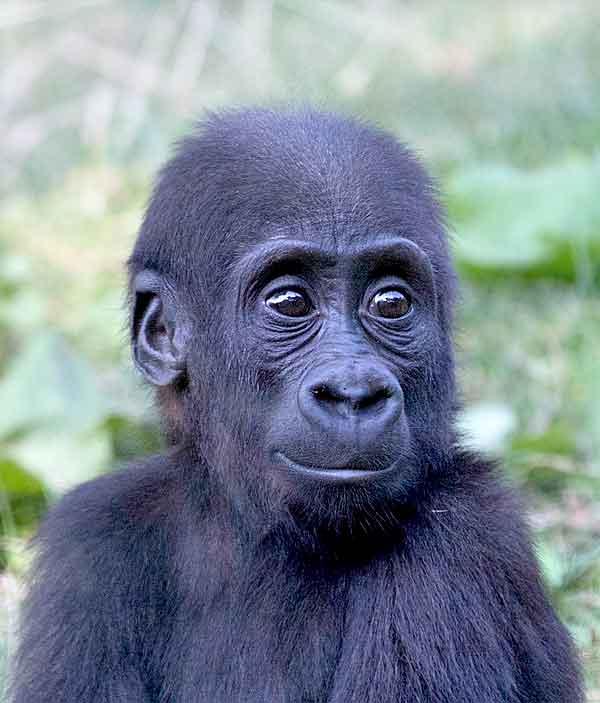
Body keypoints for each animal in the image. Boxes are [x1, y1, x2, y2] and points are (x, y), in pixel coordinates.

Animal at [11, 107, 580, 700]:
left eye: (391, 303)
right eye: (290, 302)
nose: (353, 392)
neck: (252, 531)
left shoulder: (464, 543)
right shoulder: (88, 541)